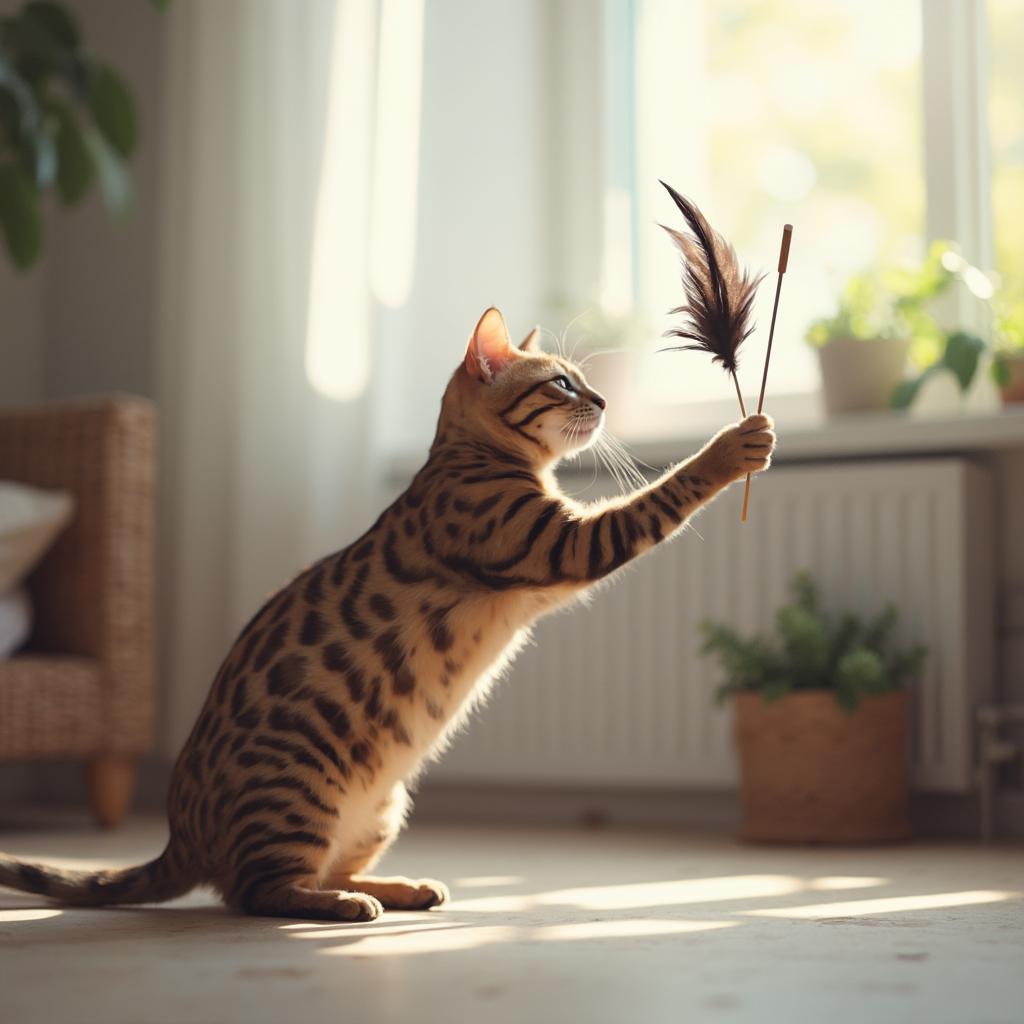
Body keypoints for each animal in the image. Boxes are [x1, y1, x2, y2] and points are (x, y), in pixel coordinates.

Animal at [0, 307, 770, 925]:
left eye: (582, 381)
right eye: (562, 383)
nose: (606, 399)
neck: (471, 457)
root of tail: (179, 835)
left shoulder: (545, 579)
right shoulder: (562, 544)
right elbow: (661, 498)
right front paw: (733, 445)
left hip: (383, 805)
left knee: (317, 870)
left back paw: (400, 888)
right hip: (300, 787)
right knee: (255, 892)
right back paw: (345, 906)